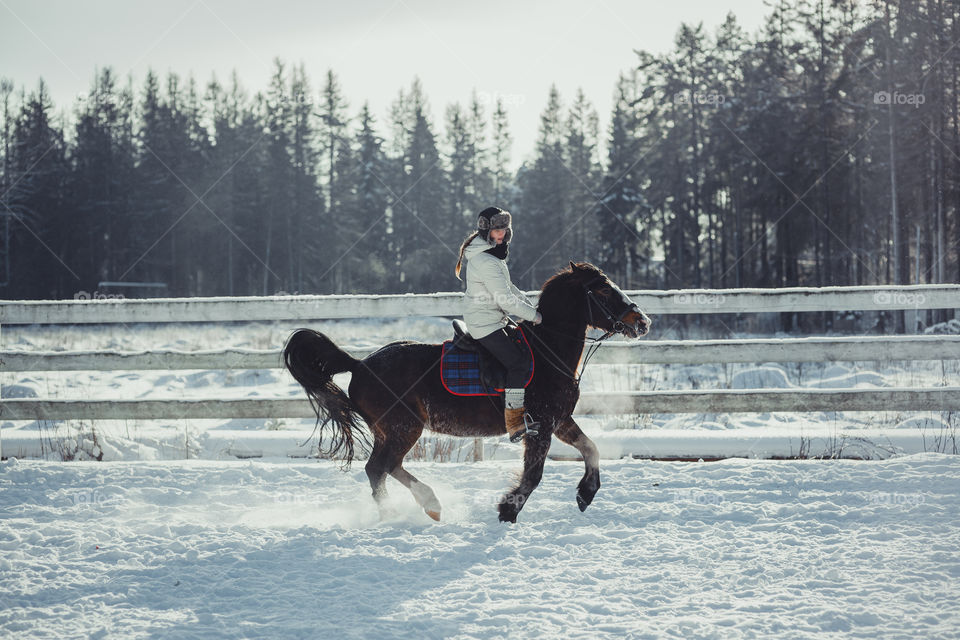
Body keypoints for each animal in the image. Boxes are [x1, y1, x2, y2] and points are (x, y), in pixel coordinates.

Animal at [282, 262, 648, 524]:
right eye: (603, 290)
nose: (642, 321)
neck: (547, 353)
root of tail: (358, 365)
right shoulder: (541, 425)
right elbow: (534, 474)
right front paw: (507, 510)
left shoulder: (560, 421)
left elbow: (591, 449)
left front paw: (586, 494)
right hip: (404, 428)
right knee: (378, 469)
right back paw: (396, 514)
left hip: (393, 431)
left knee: (387, 467)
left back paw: (430, 504)